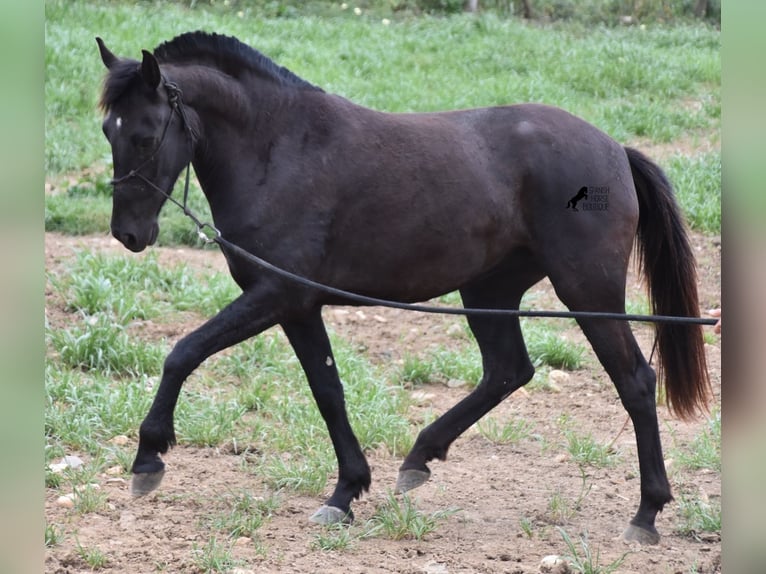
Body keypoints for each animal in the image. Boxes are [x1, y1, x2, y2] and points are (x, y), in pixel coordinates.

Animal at [97, 31, 712, 544]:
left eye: (146, 137)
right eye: (108, 130)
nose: (128, 234)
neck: (279, 147)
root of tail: (614, 151)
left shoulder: (275, 295)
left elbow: (183, 353)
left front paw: (149, 457)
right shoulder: (297, 306)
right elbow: (328, 392)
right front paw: (345, 493)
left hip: (588, 292)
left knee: (635, 382)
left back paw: (647, 514)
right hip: (489, 292)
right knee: (507, 370)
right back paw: (420, 456)